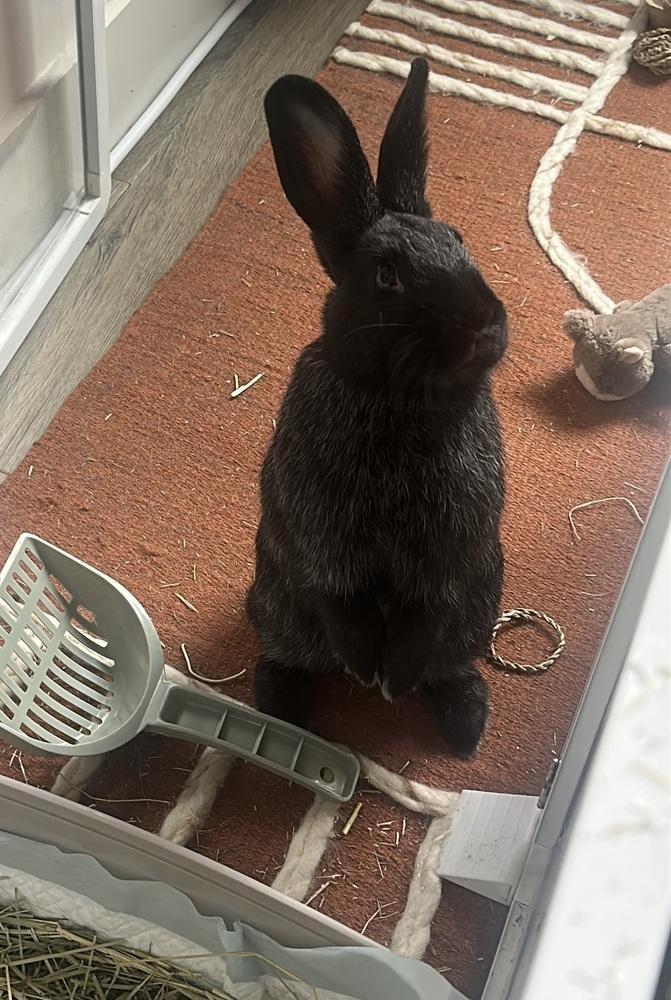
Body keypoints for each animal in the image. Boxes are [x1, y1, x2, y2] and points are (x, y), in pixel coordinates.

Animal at [246, 58, 507, 757]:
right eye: (387, 275)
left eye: (460, 241)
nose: (484, 324)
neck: (400, 403)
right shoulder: (322, 536)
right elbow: (341, 594)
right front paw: (368, 668)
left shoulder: (452, 553)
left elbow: (426, 612)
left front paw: (395, 677)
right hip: (278, 604)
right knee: (285, 655)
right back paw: (283, 712)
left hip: (480, 610)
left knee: (452, 662)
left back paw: (466, 727)